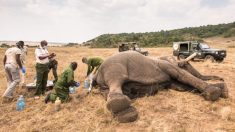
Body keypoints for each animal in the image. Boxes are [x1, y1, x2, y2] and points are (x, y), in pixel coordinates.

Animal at [92, 51, 229, 122]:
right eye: (186, 65)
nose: (222, 78)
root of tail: (97, 73)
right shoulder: (165, 65)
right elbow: (181, 75)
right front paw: (216, 91)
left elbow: (181, 86)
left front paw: (223, 90)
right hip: (114, 66)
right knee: (116, 80)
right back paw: (125, 112)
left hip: (103, 85)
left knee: (107, 91)